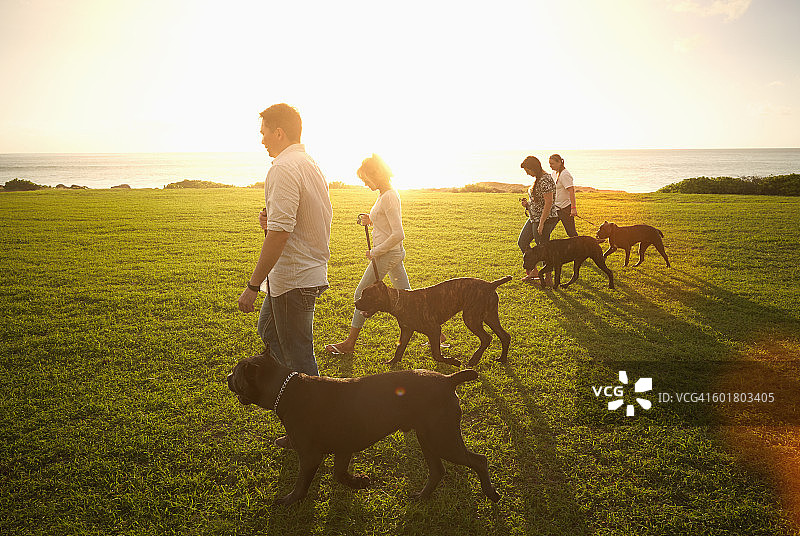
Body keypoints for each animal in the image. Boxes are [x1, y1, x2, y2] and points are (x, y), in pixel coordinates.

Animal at [227, 350, 500, 504]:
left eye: (236, 373)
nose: (227, 377)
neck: (288, 390)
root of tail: (448, 380)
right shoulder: (343, 448)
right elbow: (339, 474)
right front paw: (358, 483)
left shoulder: (310, 456)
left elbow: (301, 486)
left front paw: (289, 500)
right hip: (429, 439)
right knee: (437, 471)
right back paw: (421, 497)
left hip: (442, 440)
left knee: (479, 460)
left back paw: (491, 494)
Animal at [354, 276, 512, 368]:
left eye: (368, 296)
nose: (356, 303)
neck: (398, 301)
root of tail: (491, 284)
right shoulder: (406, 331)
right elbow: (399, 350)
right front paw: (392, 362)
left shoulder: (434, 330)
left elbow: (436, 354)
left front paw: (453, 361)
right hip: (489, 317)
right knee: (504, 336)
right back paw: (502, 359)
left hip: (471, 319)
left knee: (487, 338)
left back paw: (473, 360)